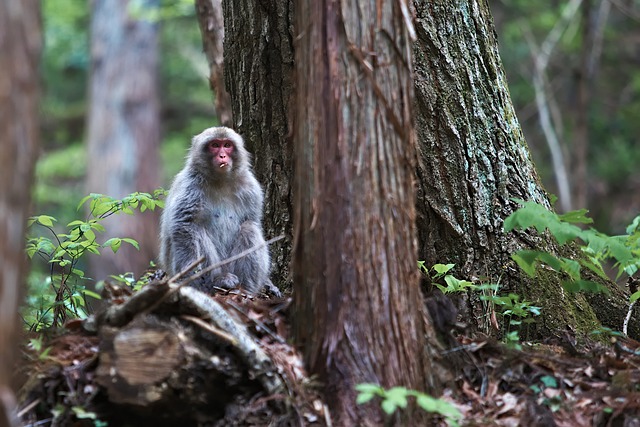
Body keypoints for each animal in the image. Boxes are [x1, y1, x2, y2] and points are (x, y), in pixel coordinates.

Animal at [158, 125, 278, 296]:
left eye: (227, 145)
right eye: (214, 145)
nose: (222, 156)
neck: (221, 180)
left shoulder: (252, 188)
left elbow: (253, 220)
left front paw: (269, 283)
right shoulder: (190, 185)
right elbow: (184, 225)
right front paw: (191, 276)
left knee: (249, 227)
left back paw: (245, 289)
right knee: (195, 230)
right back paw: (217, 281)